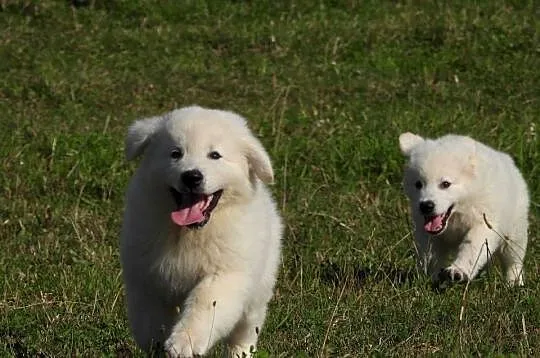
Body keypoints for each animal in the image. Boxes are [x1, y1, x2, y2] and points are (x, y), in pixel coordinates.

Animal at [121, 105, 282, 356]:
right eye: (175, 153)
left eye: (215, 155)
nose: (191, 176)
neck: (189, 233)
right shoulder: (146, 275)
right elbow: (149, 319)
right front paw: (156, 343)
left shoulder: (225, 274)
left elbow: (204, 305)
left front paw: (183, 343)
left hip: (259, 289)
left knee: (246, 329)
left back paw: (240, 352)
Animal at [398, 133, 528, 286]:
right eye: (418, 184)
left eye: (445, 184)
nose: (426, 206)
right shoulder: (425, 229)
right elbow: (431, 253)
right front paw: (433, 277)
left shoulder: (484, 219)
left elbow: (472, 246)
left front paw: (457, 271)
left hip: (515, 229)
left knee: (513, 258)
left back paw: (514, 282)